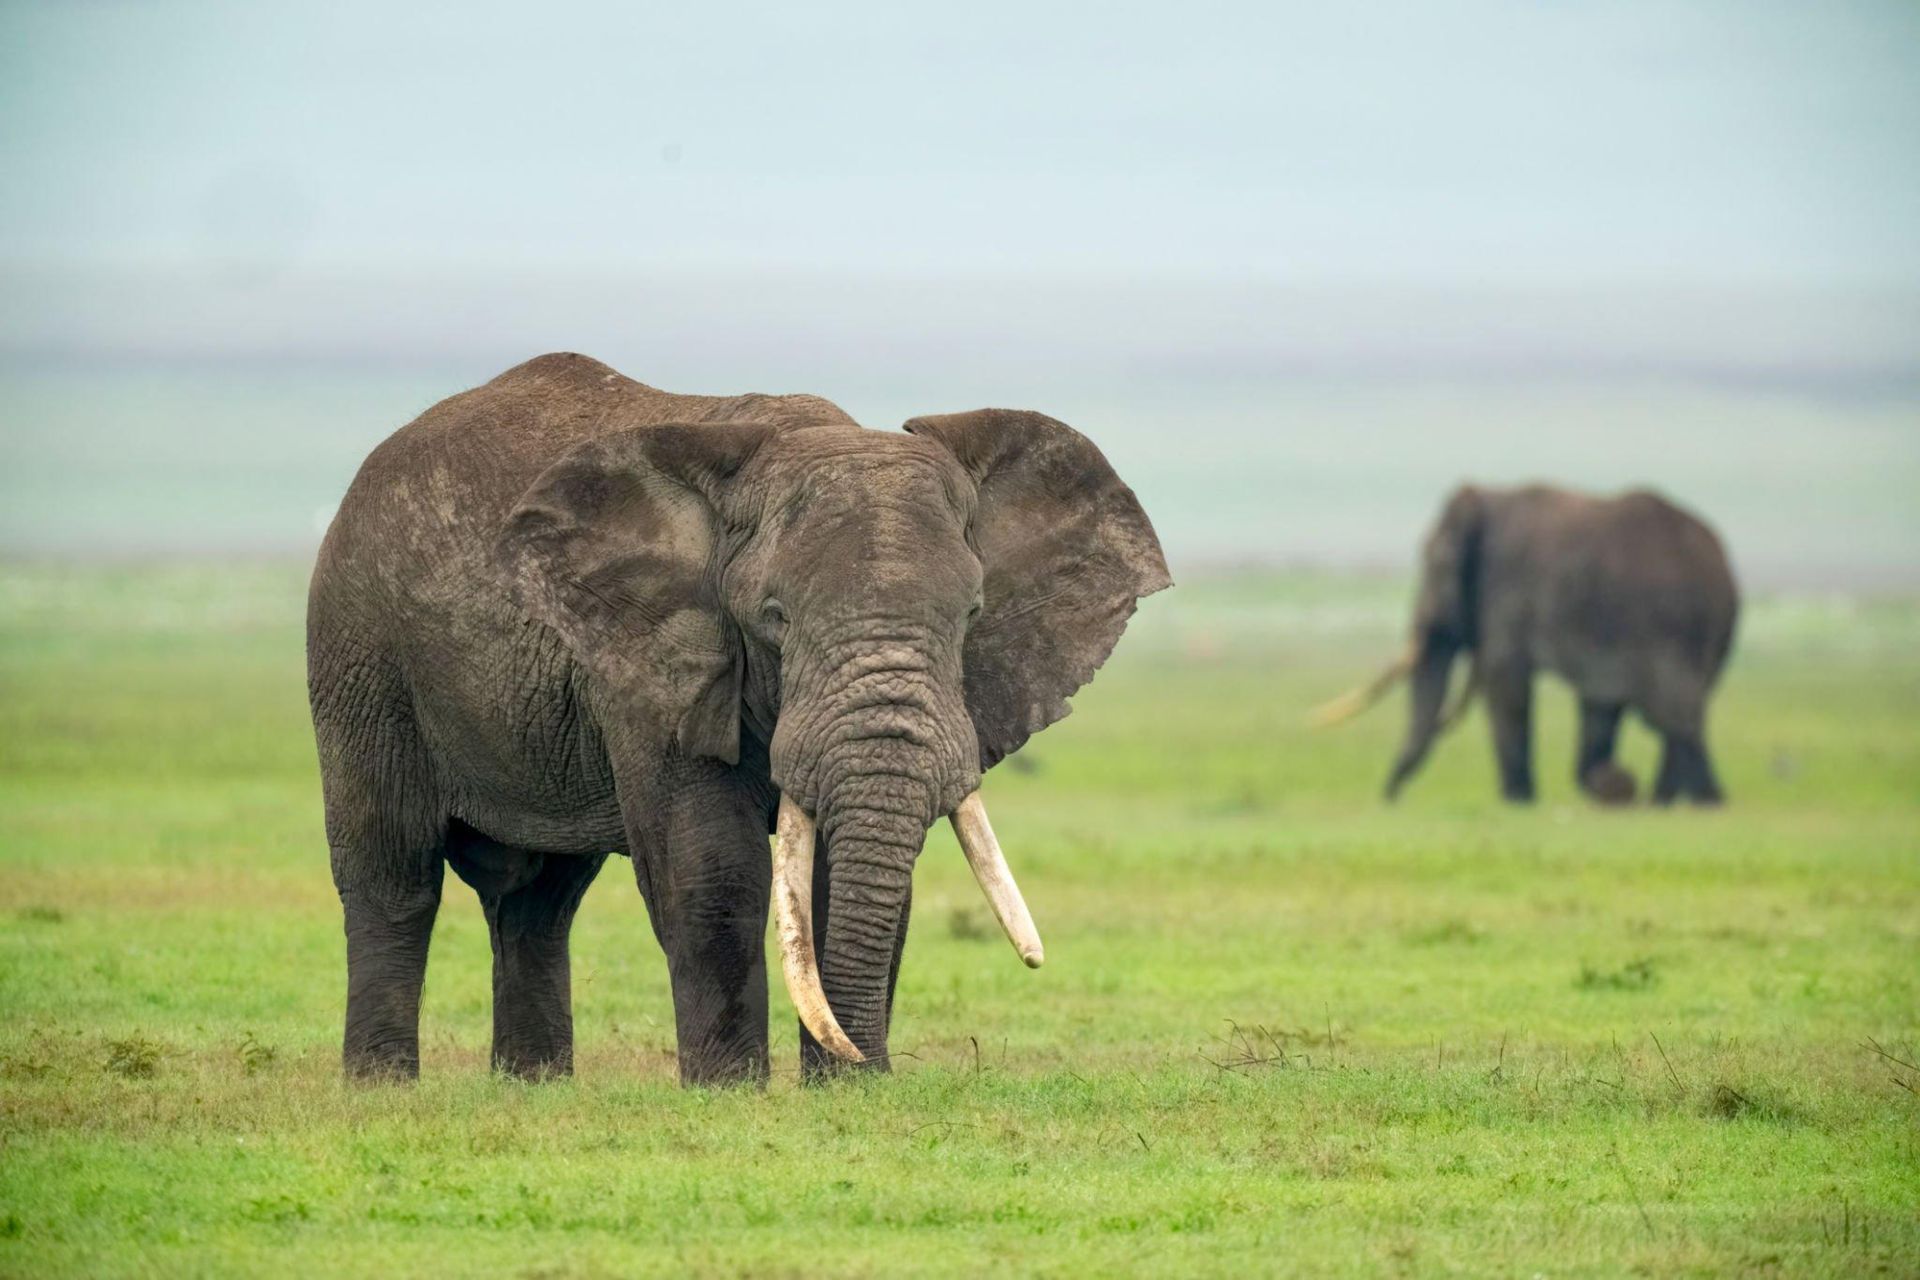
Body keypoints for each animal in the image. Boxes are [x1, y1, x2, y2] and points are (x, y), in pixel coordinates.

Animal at [306, 352, 1169, 1085]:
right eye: (774, 618)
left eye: (973, 614)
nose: (868, 1066)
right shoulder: (656, 663)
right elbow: (712, 871)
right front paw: (728, 1091)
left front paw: (841, 1091)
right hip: (360, 655)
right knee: (395, 875)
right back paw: (382, 1089)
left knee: (539, 899)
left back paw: (532, 1088)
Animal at [1313, 483, 1737, 805]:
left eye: (1437, 566)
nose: (1390, 797)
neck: (1489, 500)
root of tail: (1725, 568)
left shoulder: (1507, 591)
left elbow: (1505, 685)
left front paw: (1517, 800)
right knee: (1656, 715)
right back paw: (1663, 798)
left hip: (1671, 626)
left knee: (1676, 714)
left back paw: (1695, 801)